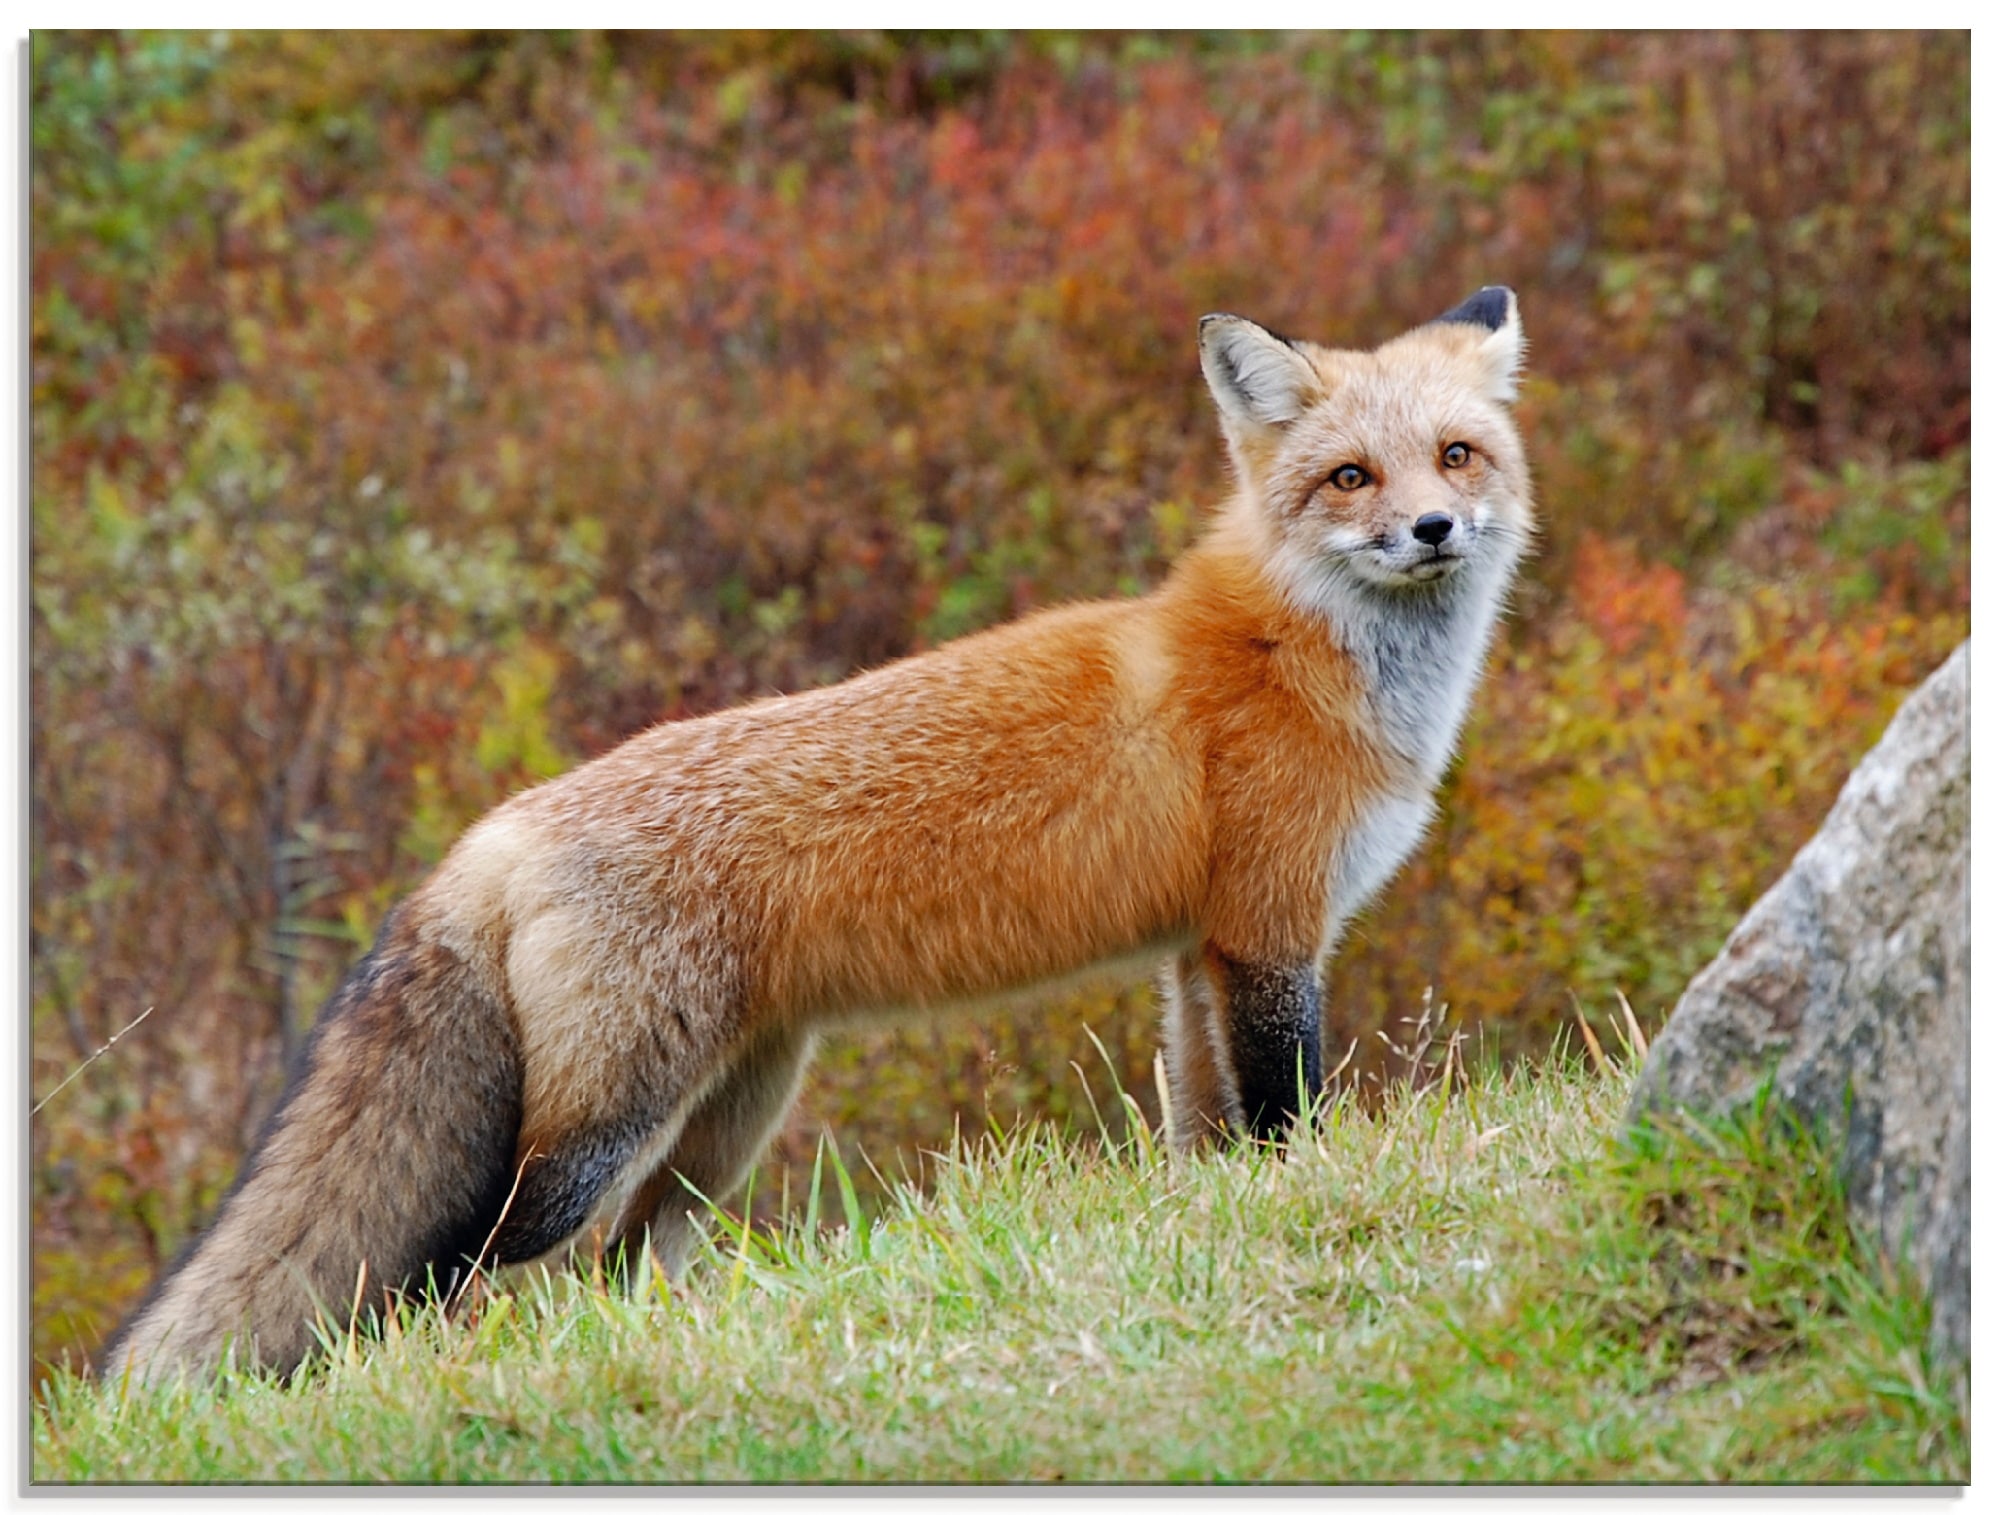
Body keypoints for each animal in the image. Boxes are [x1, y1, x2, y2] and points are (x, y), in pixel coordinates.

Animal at [101, 287, 1536, 1391]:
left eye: (1457, 455)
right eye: (1350, 476)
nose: (1430, 529)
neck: (1298, 655)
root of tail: (495, 830)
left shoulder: (1198, 953)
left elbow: (1204, 1131)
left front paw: (1211, 1227)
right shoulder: (1270, 933)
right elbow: (1288, 1118)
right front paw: (1300, 1201)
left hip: (728, 1117)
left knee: (624, 1260)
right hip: (601, 1126)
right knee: (458, 1265)